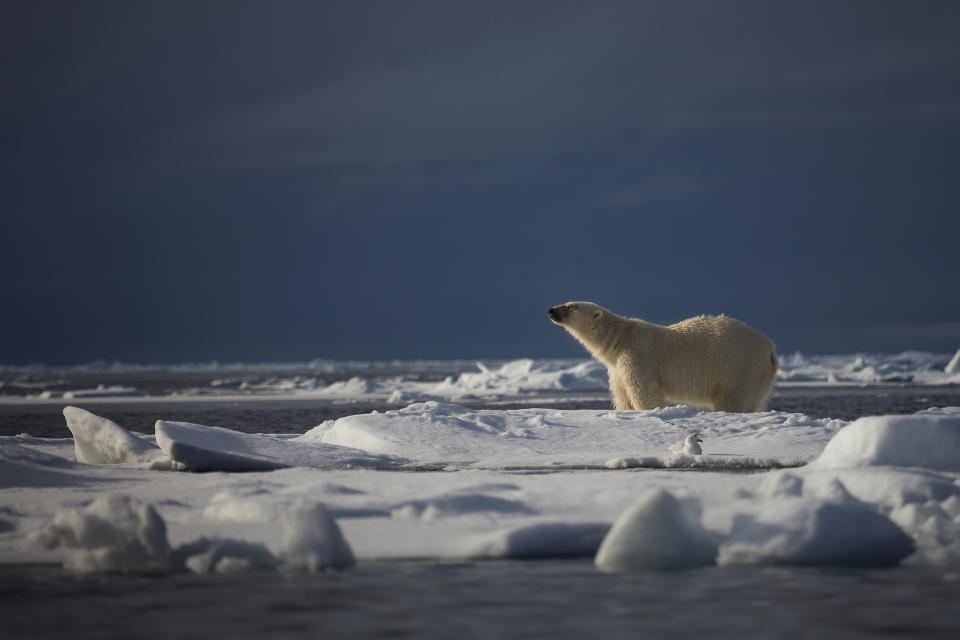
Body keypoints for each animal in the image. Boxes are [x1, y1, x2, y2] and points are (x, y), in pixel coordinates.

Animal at [552, 302, 776, 412]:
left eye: (571, 306)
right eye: (566, 302)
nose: (551, 310)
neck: (619, 338)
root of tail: (770, 348)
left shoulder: (636, 354)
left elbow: (644, 391)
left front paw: (650, 412)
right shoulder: (615, 369)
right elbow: (622, 395)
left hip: (737, 367)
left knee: (730, 399)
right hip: (756, 376)